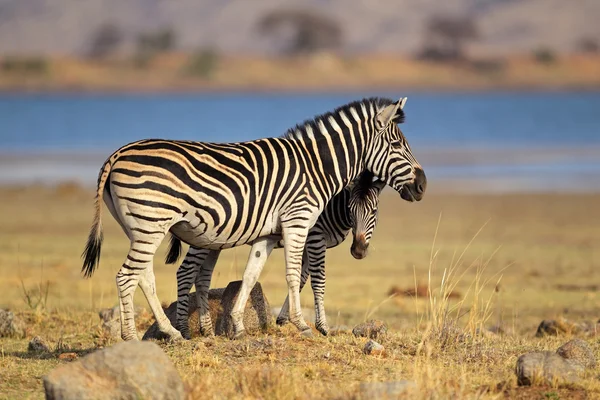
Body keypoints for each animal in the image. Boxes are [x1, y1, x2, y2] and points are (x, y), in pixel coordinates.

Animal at [169, 170, 384, 340]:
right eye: (350, 209)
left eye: (374, 211)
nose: (358, 250)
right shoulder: (315, 237)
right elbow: (317, 281)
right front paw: (322, 327)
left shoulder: (306, 242)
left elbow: (301, 278)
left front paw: (283, 318)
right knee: (185, 272)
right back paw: (184, 330)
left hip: (213, 241)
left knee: (202, 276)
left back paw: (206, 330)